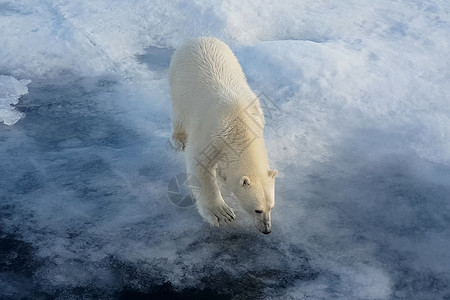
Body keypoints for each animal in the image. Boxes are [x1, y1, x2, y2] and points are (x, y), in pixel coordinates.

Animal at [169, 37, 278, 234]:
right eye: (257, 209)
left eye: (271, 207)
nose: (267, 229)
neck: (238, 123)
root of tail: (197, 39)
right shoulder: (210, 132)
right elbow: (200, 165)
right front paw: (221, 213)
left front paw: (222, 174)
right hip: (179, 82)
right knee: (179, 112)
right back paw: (178, 139)